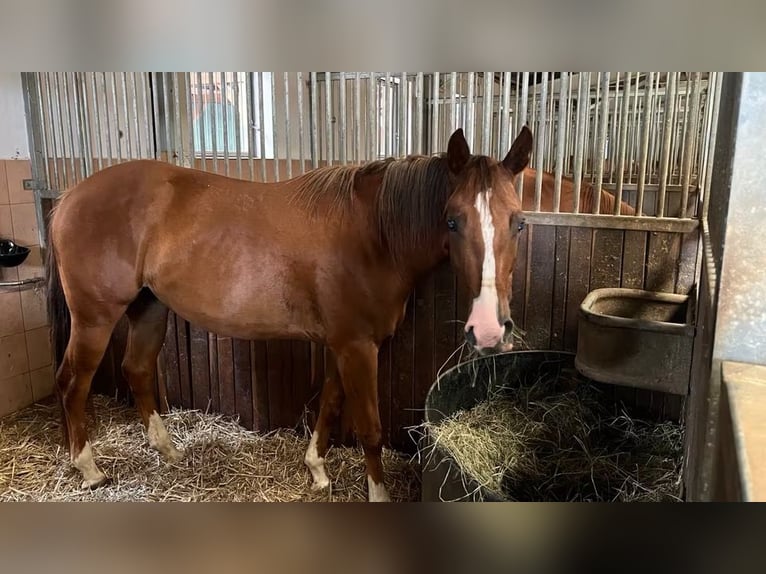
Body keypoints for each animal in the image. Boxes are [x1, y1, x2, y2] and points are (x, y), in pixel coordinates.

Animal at [45, 125, 535, 502]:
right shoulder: (358, 347)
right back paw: (89, 469)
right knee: (73, 381)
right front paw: (378, 493)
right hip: (95, 320)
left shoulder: (343, 344)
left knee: (138, 370)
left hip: (149, 308)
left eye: (519, 222)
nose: (489, 330)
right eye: (453, 220)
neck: (372, 233)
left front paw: (317, 470)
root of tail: (69, 195)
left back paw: (169, 452)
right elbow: (369, 427)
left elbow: (330, 405)